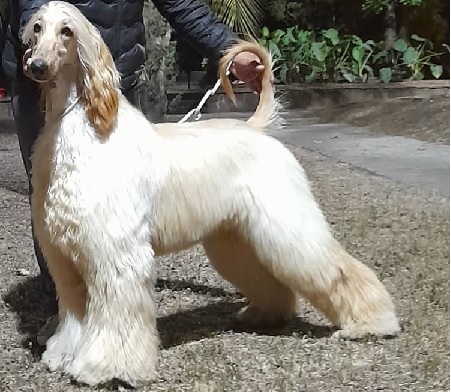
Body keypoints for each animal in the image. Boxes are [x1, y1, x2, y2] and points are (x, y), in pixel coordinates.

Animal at [23, 0, 400, 386]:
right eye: (37, 27)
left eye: (67, 31)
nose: (35, 65)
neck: (81, 131)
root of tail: (255, 128)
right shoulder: (65, 256)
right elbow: (74, 311)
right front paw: (63, 354)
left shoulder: (115, 251)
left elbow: (118, 316)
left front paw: (106, 366)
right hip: (235, 235)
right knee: (267, 277)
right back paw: (264, 314)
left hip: (284, 221)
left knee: (335, 267)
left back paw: (371, 322)